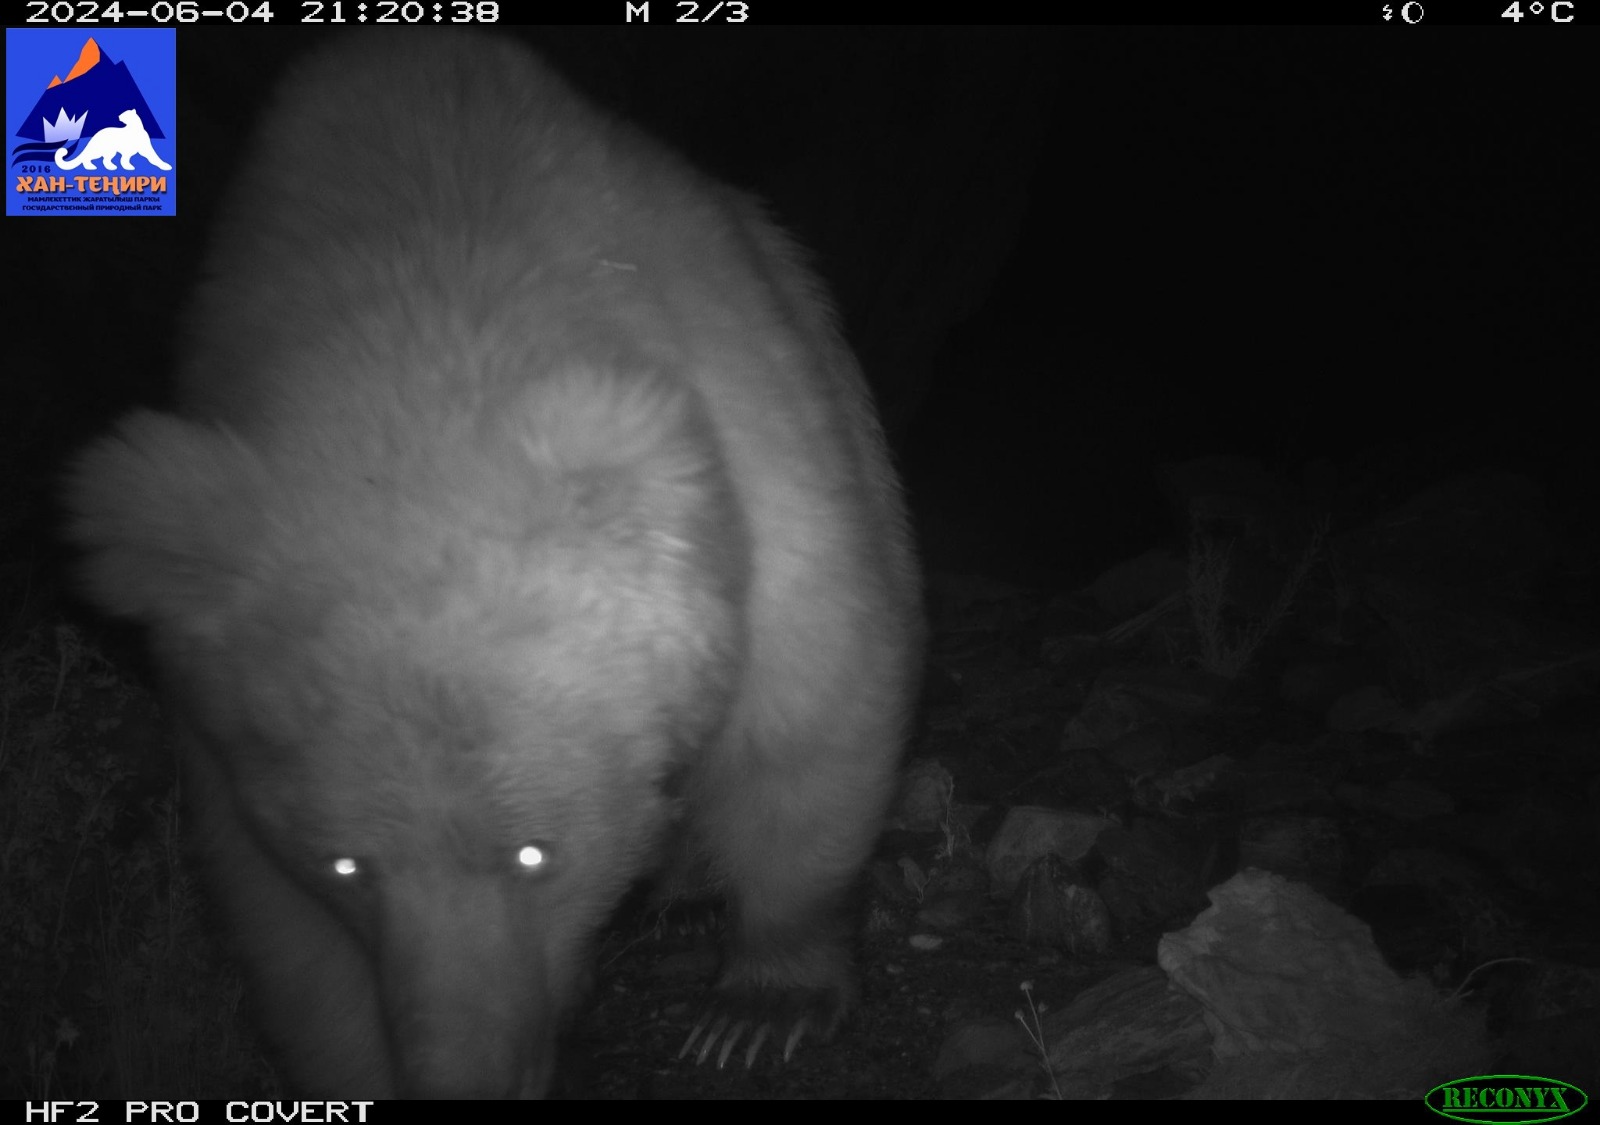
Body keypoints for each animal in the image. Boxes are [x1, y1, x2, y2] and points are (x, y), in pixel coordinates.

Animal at [66, 32, 922, 1099]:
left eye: (534, 853)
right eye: (345, 865)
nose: (467, 1074)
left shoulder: (742, 428)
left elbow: (811, 710)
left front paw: (761, 1005)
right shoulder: (222, 741)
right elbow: (288, 931)